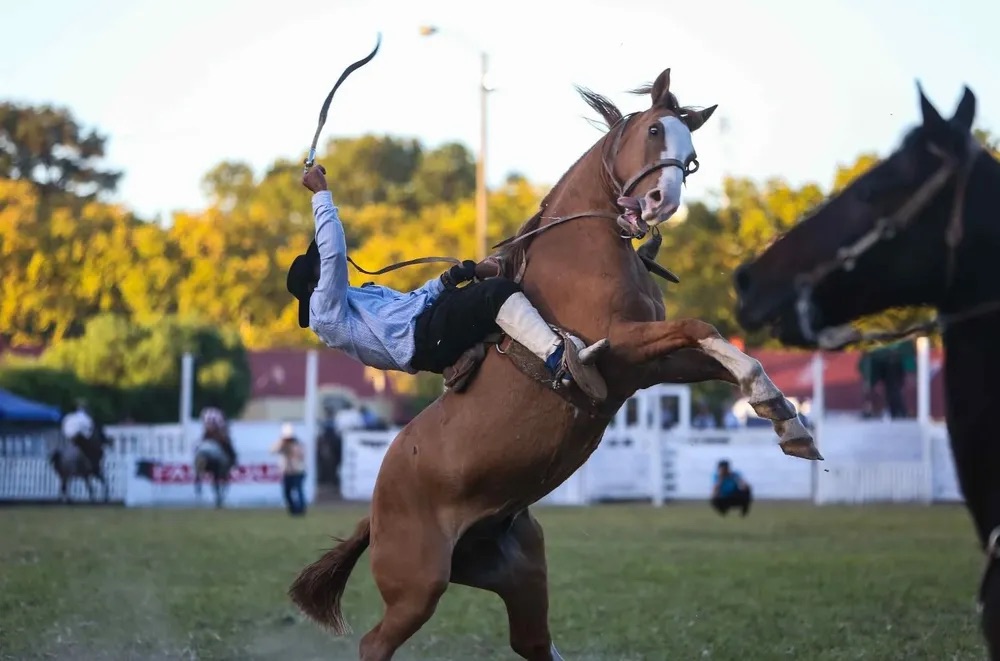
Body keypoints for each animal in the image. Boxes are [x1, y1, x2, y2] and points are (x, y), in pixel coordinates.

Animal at [290, 68, 820, 660]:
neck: (583, 251)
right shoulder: (623, 345)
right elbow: (702, 329)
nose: (661, 201)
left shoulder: (646, 369)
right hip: (417, 586)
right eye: (655, 130)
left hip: (520, 572)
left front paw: (785, 417)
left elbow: (714, 354)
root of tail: (376, 508)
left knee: (533, 643)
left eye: (692, 155)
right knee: (374, 643)